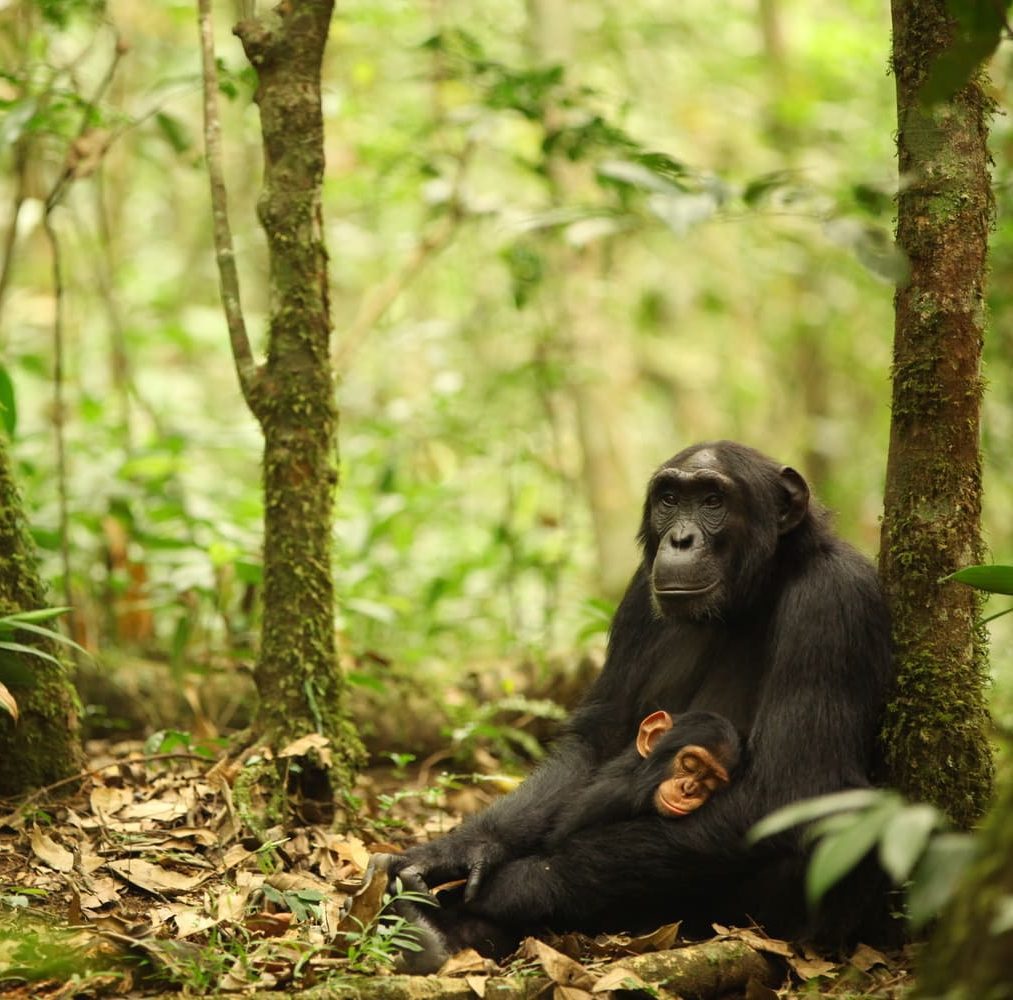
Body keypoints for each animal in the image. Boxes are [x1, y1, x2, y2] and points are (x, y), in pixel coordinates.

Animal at [380, 439, 895, 968]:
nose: (682, 539)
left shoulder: (833, 602)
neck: (755, 591)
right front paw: (461, 851)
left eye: (712, 500)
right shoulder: (634, 598)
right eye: (670, 498)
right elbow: (599, 741)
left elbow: (787, 789)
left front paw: (510, 886)